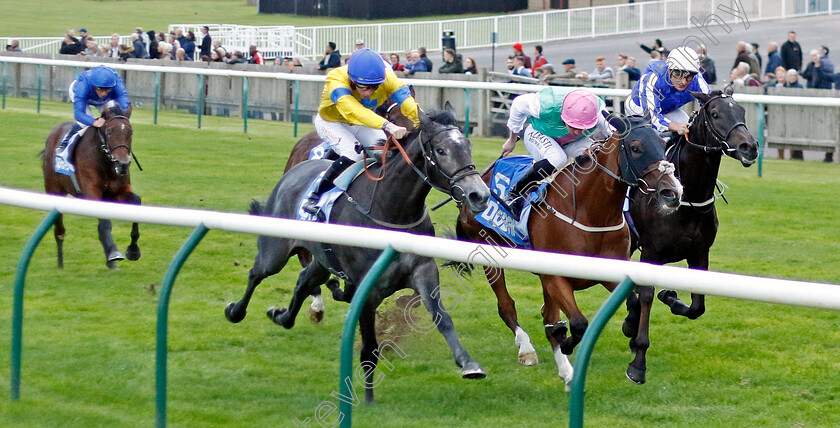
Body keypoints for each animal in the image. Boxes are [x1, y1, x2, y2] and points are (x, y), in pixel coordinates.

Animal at [43, 102, 141, 270]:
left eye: (131, 132)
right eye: (109, 132)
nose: (122, 164)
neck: (105, 162)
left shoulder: (119, 192)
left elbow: (137, 203)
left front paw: (133, 250)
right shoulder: (92, 192)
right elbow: (105, 224)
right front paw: (114, 253)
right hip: (54, 190)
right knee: (59, 229)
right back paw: (60, 263)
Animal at [223, 108, 492, 402]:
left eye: (468, 146)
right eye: (441, 151)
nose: (479, 194)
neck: (391, 209)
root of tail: (293, 171)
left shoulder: (423, 271)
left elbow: (442, 317)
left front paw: (468, 364)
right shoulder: (368, 289)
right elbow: (369, 349)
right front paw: (368, 399)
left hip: (322, 258)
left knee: (304, 282)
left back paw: (283, 315)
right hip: (276, 249)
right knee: (257, 273)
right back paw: (235, 311)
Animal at [452, 113, 684, 388]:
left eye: (662, 142)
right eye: (636, 147)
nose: (673, 192)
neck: (590, 213)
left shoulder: (608, 272)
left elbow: (635, 304)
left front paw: (629, 328)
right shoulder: (556, 278)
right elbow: (578, 323)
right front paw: (567, 343)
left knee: (547, 314)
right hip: (490, 256)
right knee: (507, 306)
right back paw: (528, 349)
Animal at [624, 86, 760, 384]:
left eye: (742, 111)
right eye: (716, 114)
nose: (749, 147)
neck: (688, 199)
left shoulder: (700, 252)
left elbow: (697, 307)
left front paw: (670, 298)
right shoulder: (650, 253)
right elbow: (646, 296)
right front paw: (638, 362)